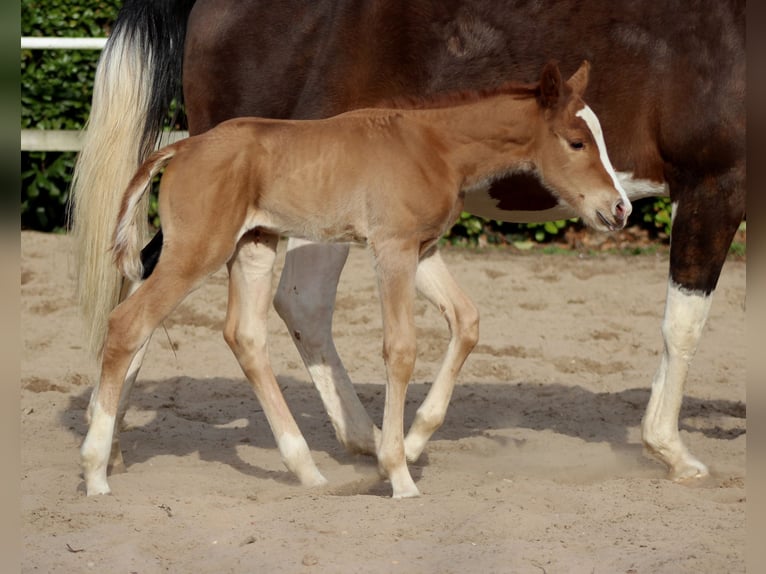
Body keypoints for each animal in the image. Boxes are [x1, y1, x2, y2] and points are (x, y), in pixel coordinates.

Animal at [70, 0, 745, 488]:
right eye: (577, 142)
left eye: (603, 136)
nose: (620, 207)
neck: (430, 142)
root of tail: (182, 147)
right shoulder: (391, 250)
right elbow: (399, 349)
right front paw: (398, 472)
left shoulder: (421, 249)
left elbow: (465, 323)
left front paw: (411, 444)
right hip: (200, 250)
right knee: (132, 319)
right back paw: (98, 466)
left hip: (254, 244)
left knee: (249, 333)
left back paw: (308, 467)